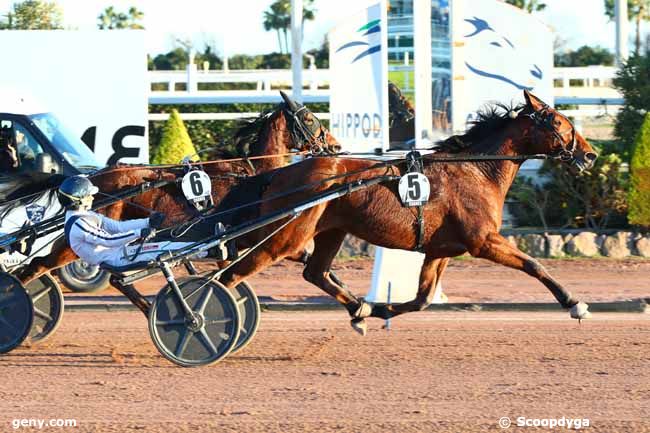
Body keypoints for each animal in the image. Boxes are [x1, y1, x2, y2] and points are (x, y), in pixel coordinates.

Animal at [216, 90, 596, 334]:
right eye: (558, 122)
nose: (590, 154)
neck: (476, 169)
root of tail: (278, 174)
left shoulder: (440, 249)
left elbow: (422, 299)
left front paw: (378, 308)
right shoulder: (483, 241)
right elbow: (534, 264)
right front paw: (574, 302)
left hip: (329, 230)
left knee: (315, 272)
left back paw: (358, 307)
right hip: (286, 234)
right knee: (230, 276)